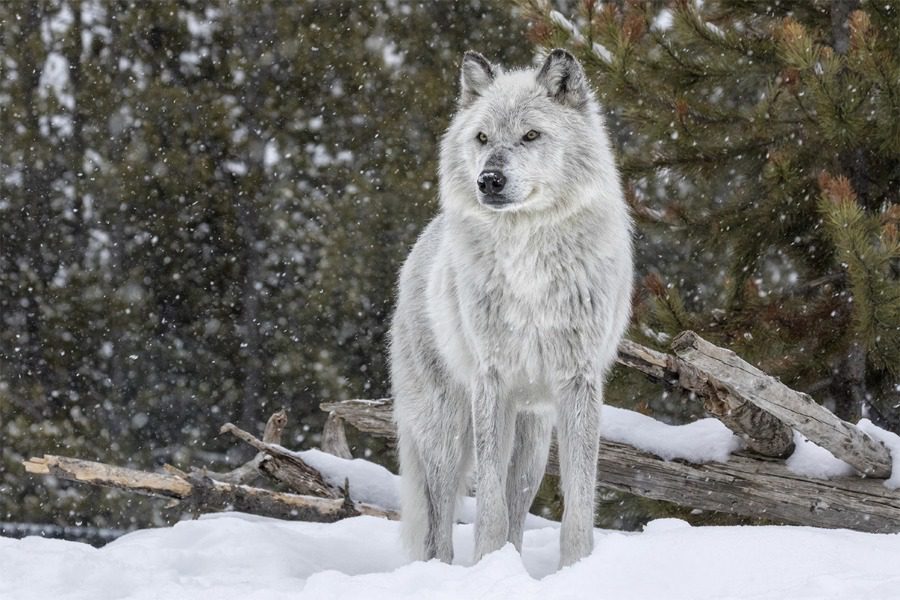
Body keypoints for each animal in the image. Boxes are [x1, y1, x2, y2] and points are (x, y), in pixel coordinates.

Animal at [390, 49, 636, 568]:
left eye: (531, 135)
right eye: (482, 138)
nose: (489, 180)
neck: (529, 259)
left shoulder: (578, 382)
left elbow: (579, 501)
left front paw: (576, 568)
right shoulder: (493, 381)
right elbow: (488, 506)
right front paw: (487, 566)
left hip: (533, 439)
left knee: (518, 500)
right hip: (446, 431)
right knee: (439, 523)